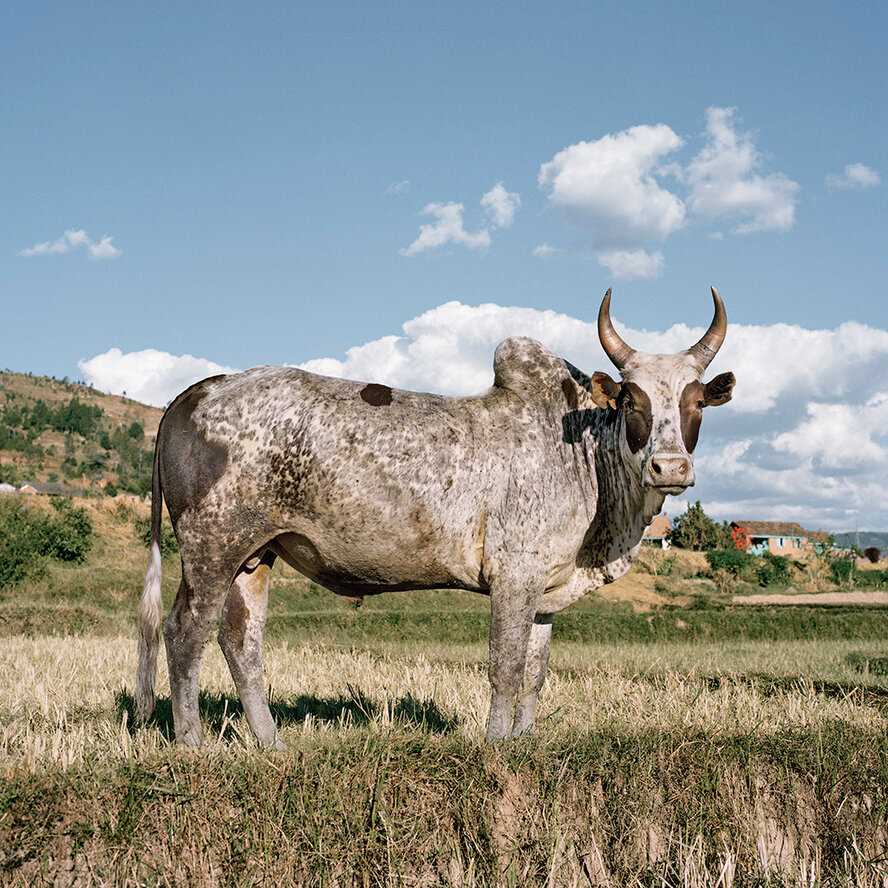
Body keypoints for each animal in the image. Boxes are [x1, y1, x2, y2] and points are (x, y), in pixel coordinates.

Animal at [137, 290, 736, 744]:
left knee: (241, 642)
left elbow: (536, 674)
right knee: (185, 632)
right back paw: (192, 744)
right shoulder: (514, 578)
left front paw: (525, 742)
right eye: (631, 401)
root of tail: (197, 390)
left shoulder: (546, 590)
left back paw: (271, 744)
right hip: (212, 549)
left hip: (255, 556)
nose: (670, 467)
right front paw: (497, 744)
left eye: (696, 403)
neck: (581, 455)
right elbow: (505, 667)